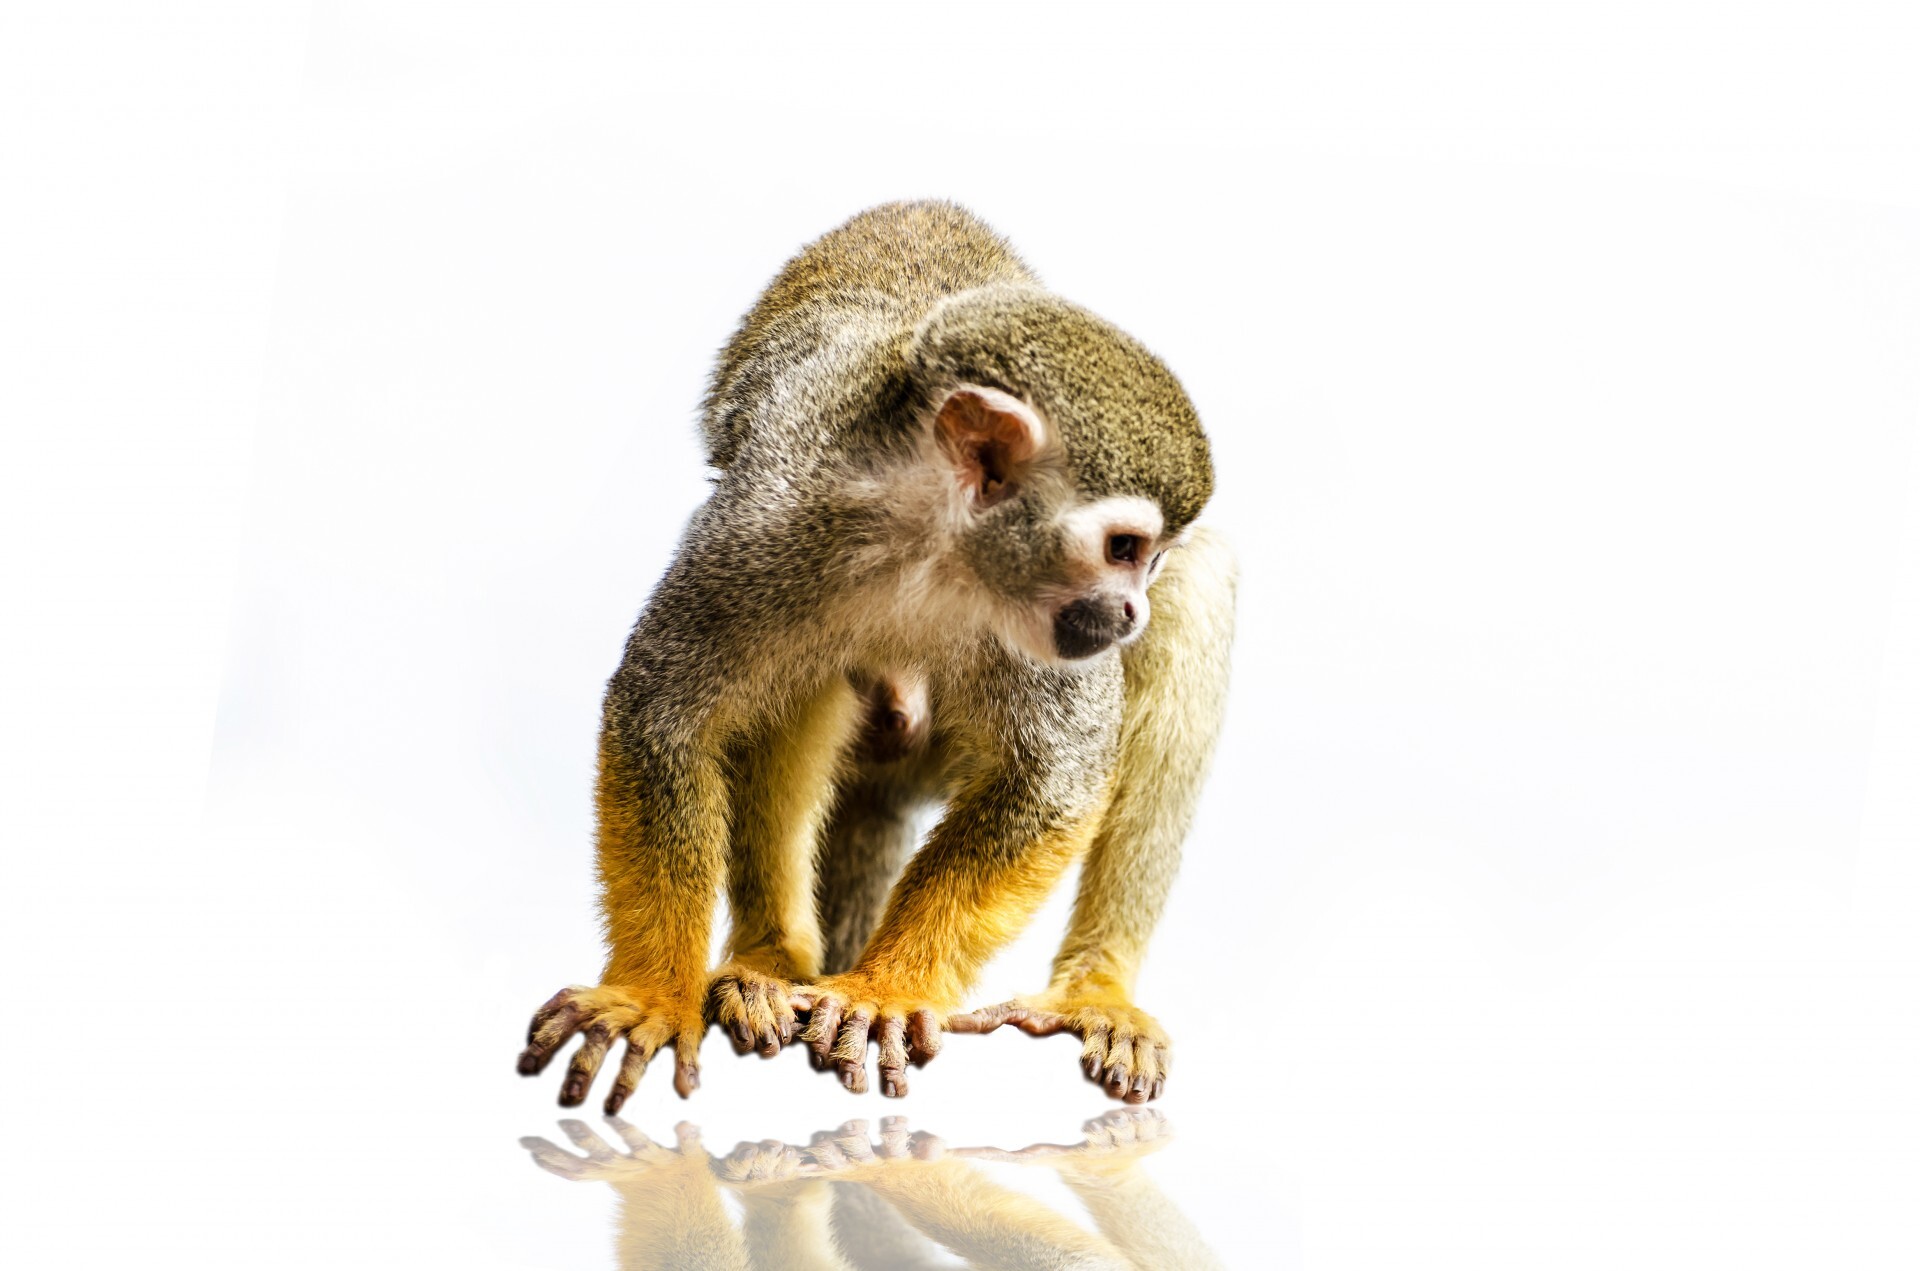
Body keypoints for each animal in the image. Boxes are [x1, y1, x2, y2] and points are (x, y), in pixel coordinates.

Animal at [515, 200, 1235, 1114]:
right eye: (1124, 547)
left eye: (1149, 558)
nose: (1131, 607)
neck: (934, 539)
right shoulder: (770, 516)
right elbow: (665, 714)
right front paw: (650, 990)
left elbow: (1054, 781)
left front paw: (887, 988)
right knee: (809, 679)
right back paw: (770, 961)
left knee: (1202, 593)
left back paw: (1095, 990)